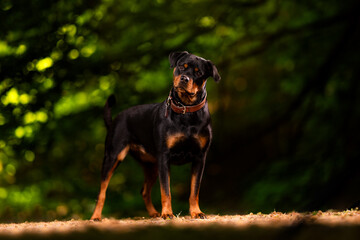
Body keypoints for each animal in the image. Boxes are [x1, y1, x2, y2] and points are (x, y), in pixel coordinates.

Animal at [90, 51, 219, 220]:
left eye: (198, 73)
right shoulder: (164, 156)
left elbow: (194, 190)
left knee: (144, 191)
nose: (184, 78)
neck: (186, 111)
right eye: (181, 66)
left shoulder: (199, 157)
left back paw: (153, 213)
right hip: (113, 157)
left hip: (151, 165)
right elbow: (166, 190)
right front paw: (168, 213)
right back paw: (96, 216)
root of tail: (114, 120)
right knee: (102, 191)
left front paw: (196, 212)